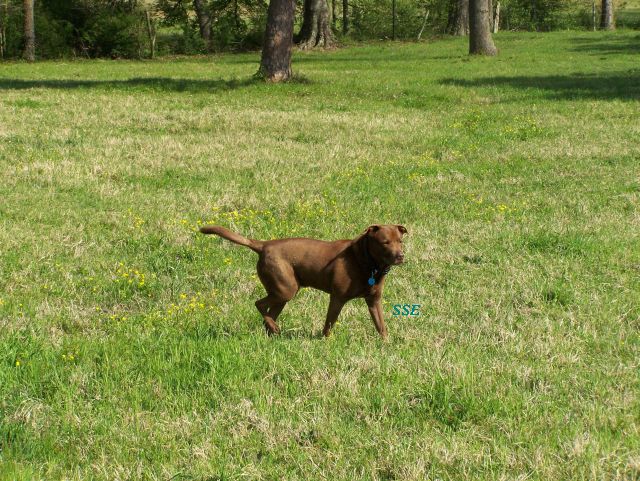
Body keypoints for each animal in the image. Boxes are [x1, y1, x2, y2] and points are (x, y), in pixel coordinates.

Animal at [200, 224, 408, 338]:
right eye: (384, 242)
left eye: (400, 241)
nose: (400, 256)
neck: (365, 261)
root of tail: (263, 245)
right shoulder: (337, 298)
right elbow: (328, 325)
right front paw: (326, 342)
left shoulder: (374, 301)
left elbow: (381, 326)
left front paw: (386, 344)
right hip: (286, 289)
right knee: (258, 303)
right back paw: (274, 328)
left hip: (281, 292)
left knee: (268, 313)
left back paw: (273, 331)